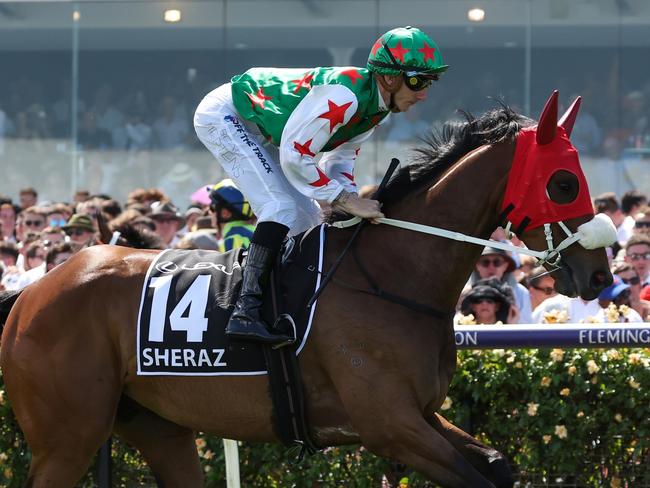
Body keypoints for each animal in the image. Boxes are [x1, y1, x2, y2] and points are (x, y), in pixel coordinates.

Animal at [0, 92, 612, 488]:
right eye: (564, 183)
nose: (600, 277)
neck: (387, 276)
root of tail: (31, 294)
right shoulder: (390, 425)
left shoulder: (419, 415)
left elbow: (497, 465)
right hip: (67, 435)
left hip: (157, 425)